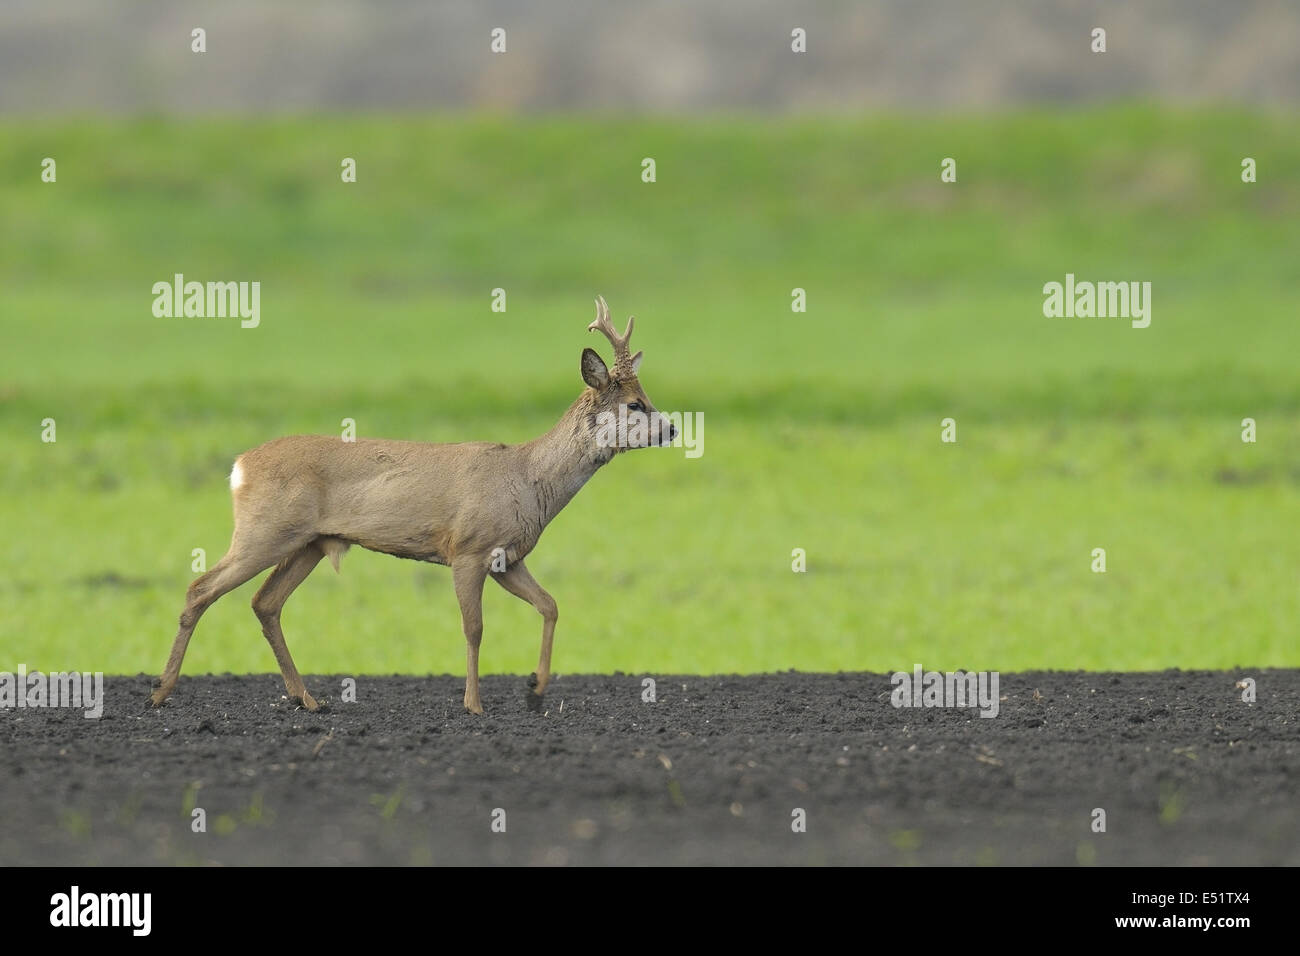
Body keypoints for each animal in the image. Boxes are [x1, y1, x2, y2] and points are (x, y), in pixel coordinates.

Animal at [149, 295, 681, 712]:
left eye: (647, 396)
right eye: (635, 404)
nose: (674, 428)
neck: (528, 479)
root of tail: (239, 465)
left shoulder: (507, 558)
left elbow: (550, 605)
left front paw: (535, 689)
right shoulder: (467, 549)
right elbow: (474, 627)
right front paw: (474, 705)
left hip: (310, 543)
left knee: (264, 603)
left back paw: (307, 699)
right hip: (264, 530)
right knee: (201, 588)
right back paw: (161, 691)